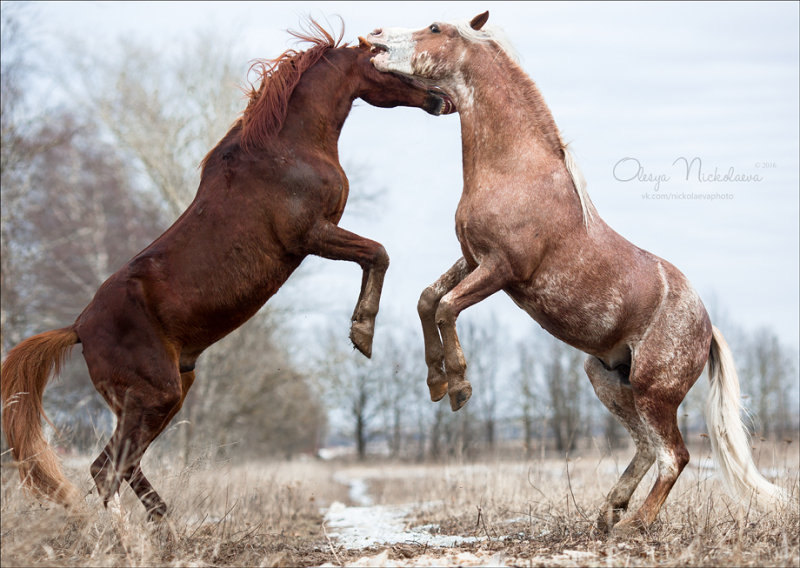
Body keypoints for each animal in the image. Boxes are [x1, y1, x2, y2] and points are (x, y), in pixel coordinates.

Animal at [0, 21, 450, 520]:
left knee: (122, 465)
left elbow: (375, 255)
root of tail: (78, 327)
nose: (440, 99)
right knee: (107, 470)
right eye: (389, 58)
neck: (288, 147)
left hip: (170, 393)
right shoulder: (311, 235)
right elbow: (378, 253)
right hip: (153, 396)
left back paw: (167, 524)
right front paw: (362, 333)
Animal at [368, 10, 788, 532]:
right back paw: (610, 513)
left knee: (674, 456)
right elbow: (428, 299)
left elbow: (446, 306)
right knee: (647, 448)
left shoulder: (501, 268)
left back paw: (635, 525)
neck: (515, 169)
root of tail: (707, 329)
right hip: (607, 379)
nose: (375, 38)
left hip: (655, 392)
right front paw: (435, 382)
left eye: (435, 29)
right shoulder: (472, 258)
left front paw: (460, 387)